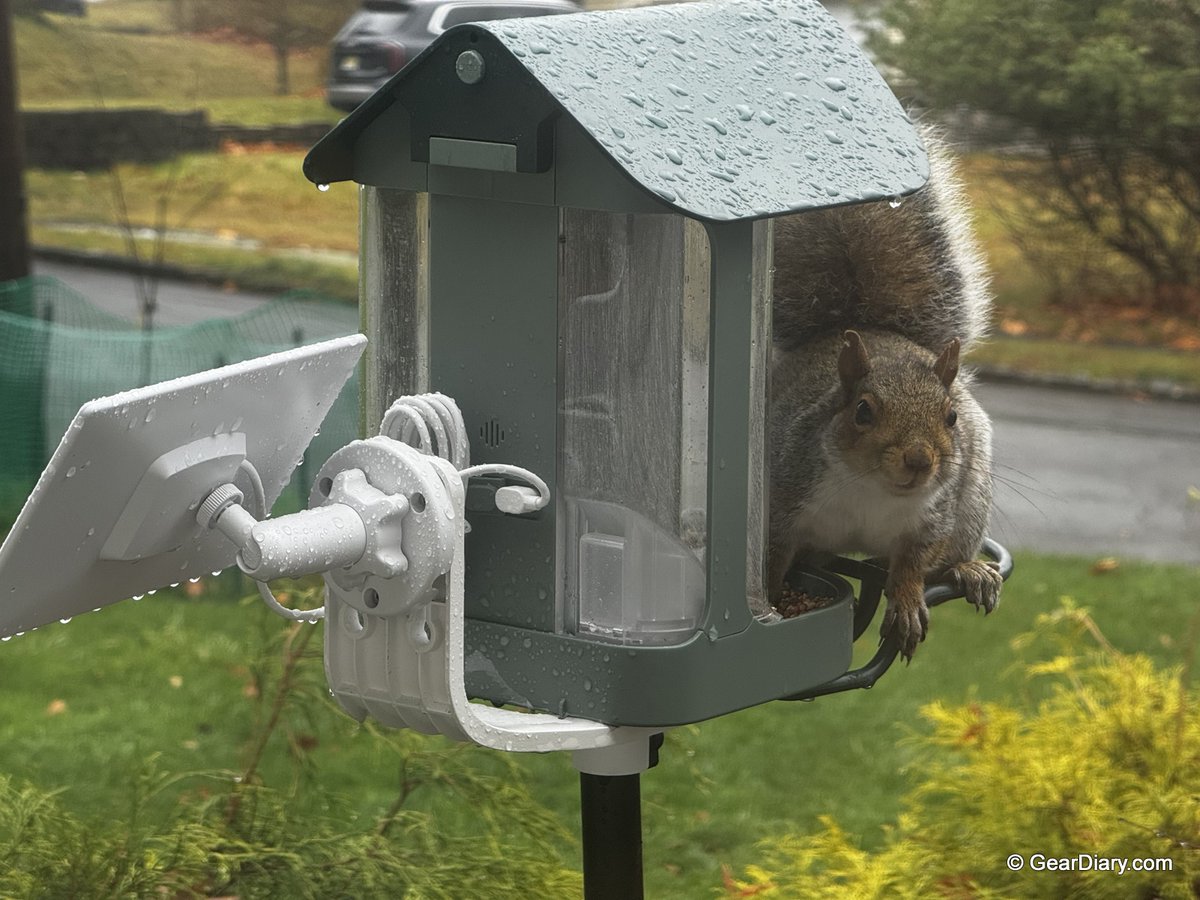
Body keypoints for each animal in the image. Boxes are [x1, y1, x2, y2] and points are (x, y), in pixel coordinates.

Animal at [767, 132, 1002, 660]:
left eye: (951, 417)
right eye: (863, 411)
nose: (919, 460)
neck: (870, 490)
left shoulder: (932, 519)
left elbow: (913, 564)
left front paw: (908, 604)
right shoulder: (783, 495)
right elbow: (771, 557)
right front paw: (770, 606)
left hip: (971, 500)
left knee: (945, 555)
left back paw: (969, 570)